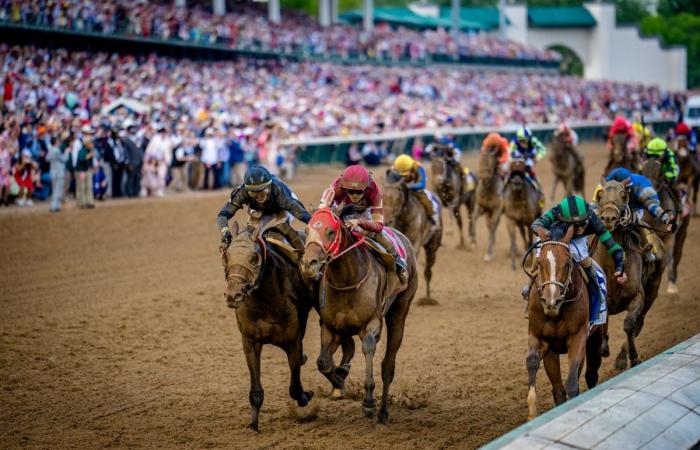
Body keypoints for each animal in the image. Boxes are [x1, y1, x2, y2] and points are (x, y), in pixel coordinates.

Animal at [223, 223, 314, 430]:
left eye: (253, 258)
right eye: (227, 255)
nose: (233, 295)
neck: (266, 303)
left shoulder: (293, 342)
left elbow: (295, 388)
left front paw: (306, 396)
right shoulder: (249, 341)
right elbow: (256, 390)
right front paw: (253, 425)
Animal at [300, 208, 416, 426]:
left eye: (330, 232)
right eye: (306, 230)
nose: (308, 264)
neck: (347, 279)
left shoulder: (371, 325)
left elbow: (368, 348)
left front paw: (368, 402)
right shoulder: (330, 327)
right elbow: (323, 363)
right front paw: (339, 381)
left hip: (400, 310)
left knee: (388, 366)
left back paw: (383, 413)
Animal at [382, 171, 442, 304]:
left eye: (398, 198)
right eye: (383, 198)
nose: (387, 220)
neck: (404, 217)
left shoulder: (415, 242)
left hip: (432, 246)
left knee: (428, 272)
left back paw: (428, 299)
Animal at [524, 227, 600, 420]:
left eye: (567, 263)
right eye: (539, 262)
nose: (552, 301)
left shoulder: (578, 337)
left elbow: (572, 381)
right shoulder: (538, 335)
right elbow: (532, 362)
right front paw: (532, 413)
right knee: (558, 389)